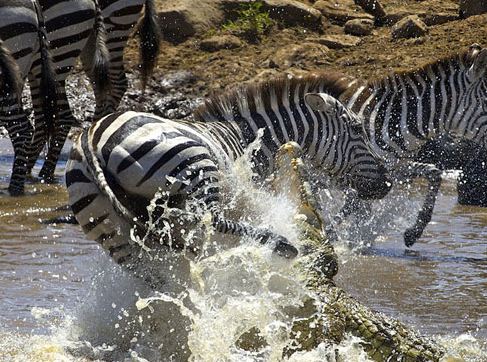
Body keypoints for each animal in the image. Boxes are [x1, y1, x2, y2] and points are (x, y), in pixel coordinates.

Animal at [66, 74, 392, 280]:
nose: (387, 183)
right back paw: (280, 243)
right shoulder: (247, 190)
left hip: (111, 232)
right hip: (198, 167)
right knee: (208, 219)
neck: (254, 139)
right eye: (358, 129)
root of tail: (91, 138)